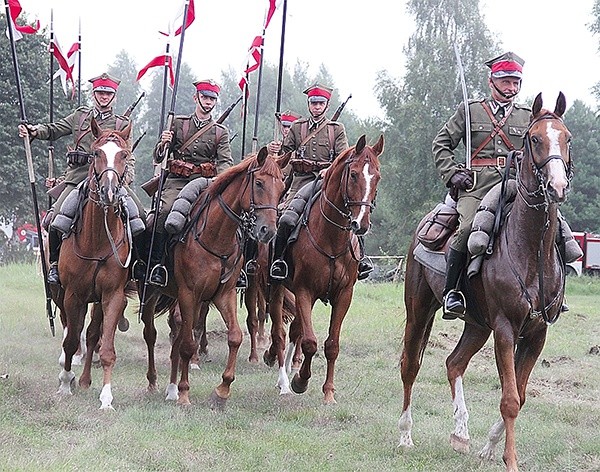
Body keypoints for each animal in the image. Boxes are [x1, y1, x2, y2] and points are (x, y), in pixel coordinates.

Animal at [54, 119, 134, 410]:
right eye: (96, 153)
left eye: (124, 155)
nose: (110, 192)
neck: (98, 239)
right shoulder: (73, 295)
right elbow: (69, 341)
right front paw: (65, 384)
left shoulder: (112, 296)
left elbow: (106, 346)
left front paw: (106, 397)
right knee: (73, 331)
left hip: (98, 300)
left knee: (91, 334)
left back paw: (87, 380)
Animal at [141, 149, 288, 408]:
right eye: (259, 183)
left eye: (282, 187)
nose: (267, 231)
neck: (215, 236)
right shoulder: (189, 294)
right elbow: (188, 345)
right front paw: (185, 393)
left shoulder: (223, 294)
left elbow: (235, 337)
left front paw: (222, 390)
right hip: (151, 292)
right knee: (151, 334)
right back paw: (154, 382)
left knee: (177, 331)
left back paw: (171, 388)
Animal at [264, 135, 382, 404]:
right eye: (354, 174)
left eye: (378, 176)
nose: (361, 224)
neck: (331, 238)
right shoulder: (304, 291)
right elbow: (309, 342)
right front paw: (300, 381)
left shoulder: (344, 295)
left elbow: (331, 344)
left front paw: (328, 392)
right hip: (277, 288)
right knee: (280, 333)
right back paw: (283, 379)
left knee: (294, 330)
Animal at [398, 93, 572, 472]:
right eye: (534, 138)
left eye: (567, 138)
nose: (557, 187)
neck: (530, 249)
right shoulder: (505, 330)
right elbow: (509, 398)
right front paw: (510, 460)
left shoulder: (537, 334)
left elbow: (520, 395)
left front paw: (489, 447)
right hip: (419, 311)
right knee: (411, 366)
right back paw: (405, 435)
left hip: (477, 324)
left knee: (454, 363)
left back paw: (460, 433)